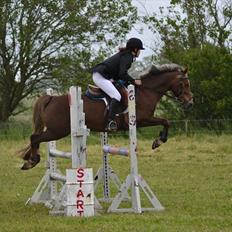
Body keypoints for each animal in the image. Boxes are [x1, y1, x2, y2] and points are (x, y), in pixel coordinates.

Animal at [19, 64, 194, 169]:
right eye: (184, 84)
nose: (190, 103)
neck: (146, 91)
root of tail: (52, 98)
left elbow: (165, 121)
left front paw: (158, 141)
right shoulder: (140, 119)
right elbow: (166, 121)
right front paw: (158, 141)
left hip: (56, 130)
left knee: (35, 138)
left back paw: (29, 159)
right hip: (57, 131)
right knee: (34, 138)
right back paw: (32, 160)